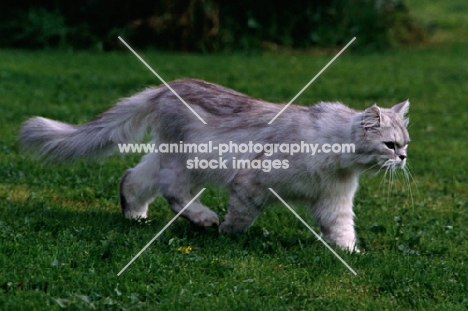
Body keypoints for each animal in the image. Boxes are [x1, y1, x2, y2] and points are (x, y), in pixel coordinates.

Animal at [19, 78, 410, 254]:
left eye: (405, 144)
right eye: (390, 145)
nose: (404, 158)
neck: (338, 158)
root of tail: (164, 87)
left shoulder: (334, 201)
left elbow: (342, 232)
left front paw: (351, 255)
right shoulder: (252, 181)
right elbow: (240, 217)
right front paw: (227, 234)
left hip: (166, 157)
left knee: (132, 178)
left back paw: (135, 217)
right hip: (187, 163)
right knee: (173, 192)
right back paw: (204, 219)